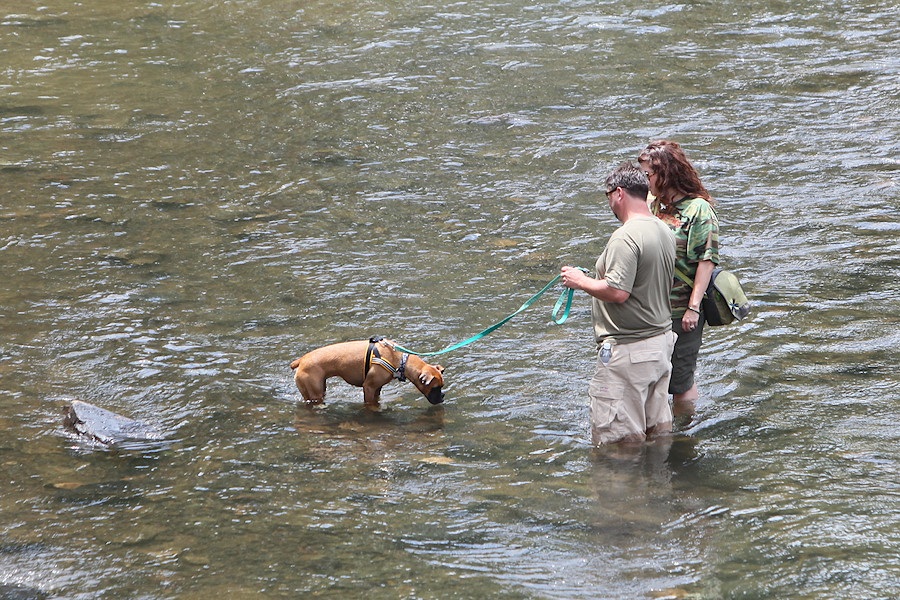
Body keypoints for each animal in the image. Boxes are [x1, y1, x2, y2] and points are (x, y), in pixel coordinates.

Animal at [290, 338, 444, 408]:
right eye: (435, 388)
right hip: (314, 393)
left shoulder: (377, 388)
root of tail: (301, 360)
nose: (443, 396)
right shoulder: (369, 387)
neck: (401, 360)